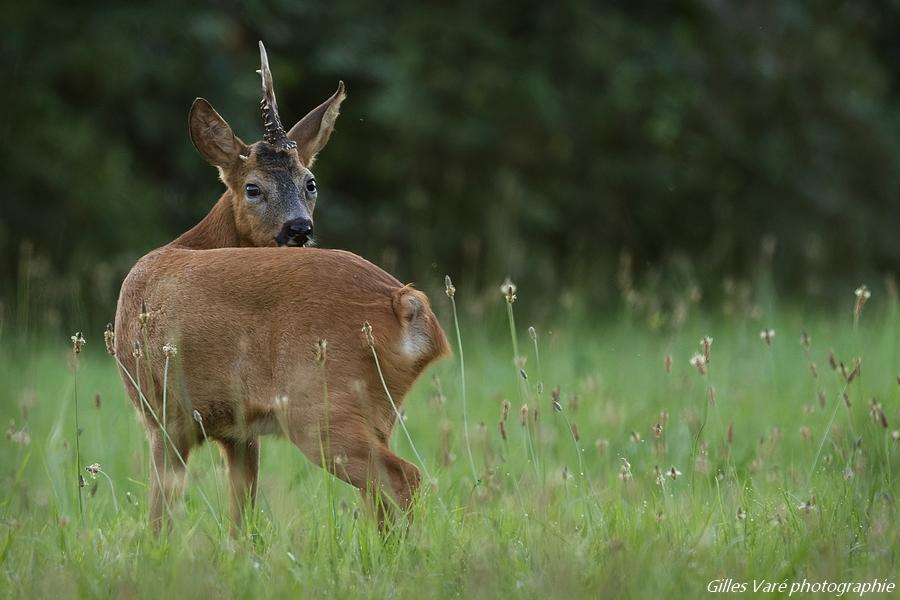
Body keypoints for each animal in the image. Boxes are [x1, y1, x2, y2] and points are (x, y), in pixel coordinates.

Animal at [113, 247, 450, 528]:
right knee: (378, 494)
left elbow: (160, 511)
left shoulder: (164, 419)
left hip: (317, 412)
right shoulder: (240, 434)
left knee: (404, 476)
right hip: (376, 416)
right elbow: (242, 513)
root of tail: (405, 302)